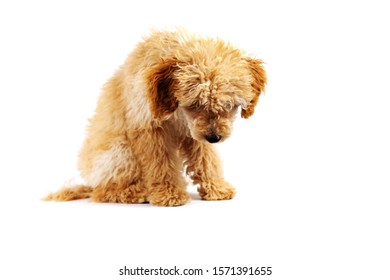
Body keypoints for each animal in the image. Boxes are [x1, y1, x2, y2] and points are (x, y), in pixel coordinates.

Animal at [45, 29, 266, 207]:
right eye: (195, 104)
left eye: (230, 105)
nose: (214, 137)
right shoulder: (149, 130)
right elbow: (160, 164)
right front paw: (169, 194)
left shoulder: (194, 132)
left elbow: (206, 158)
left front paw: (216, 188)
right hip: (119, 152)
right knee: (102, 191)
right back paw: (138, 192)